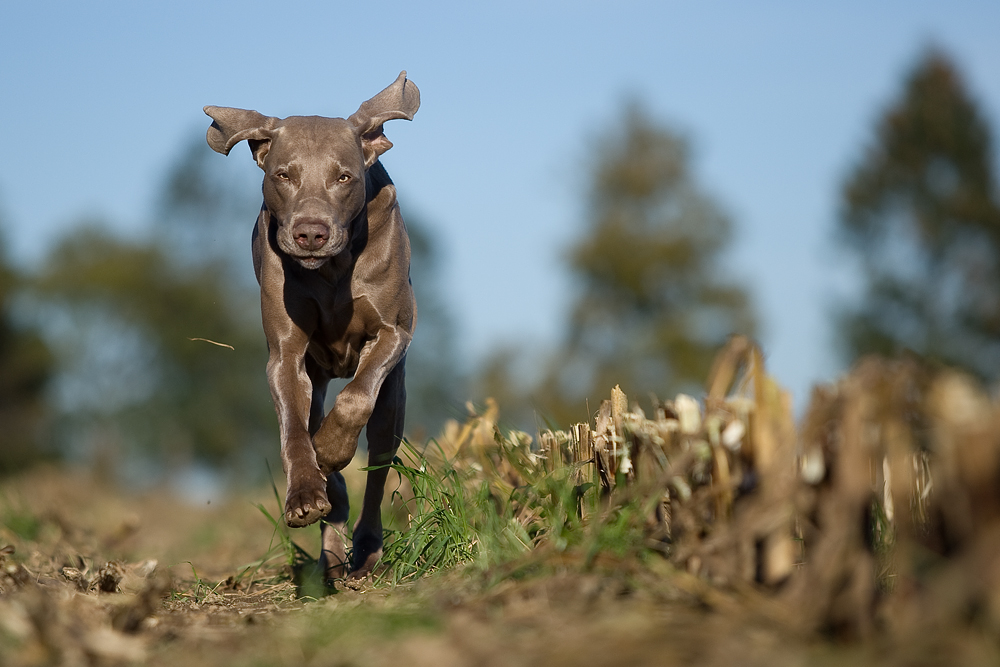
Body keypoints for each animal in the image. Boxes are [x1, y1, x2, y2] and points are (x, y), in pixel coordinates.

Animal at [205, 72, 420, 580]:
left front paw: (332, 449)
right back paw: (332, 550)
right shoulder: (285, 354)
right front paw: (306, 493)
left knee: (379, 463)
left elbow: (357, 397)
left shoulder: (393, 332)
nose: (310, 233)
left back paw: (366, 549)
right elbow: (293, 429)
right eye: (283, 175)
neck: (331, 270)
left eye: (344, 177)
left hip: (394, 402)